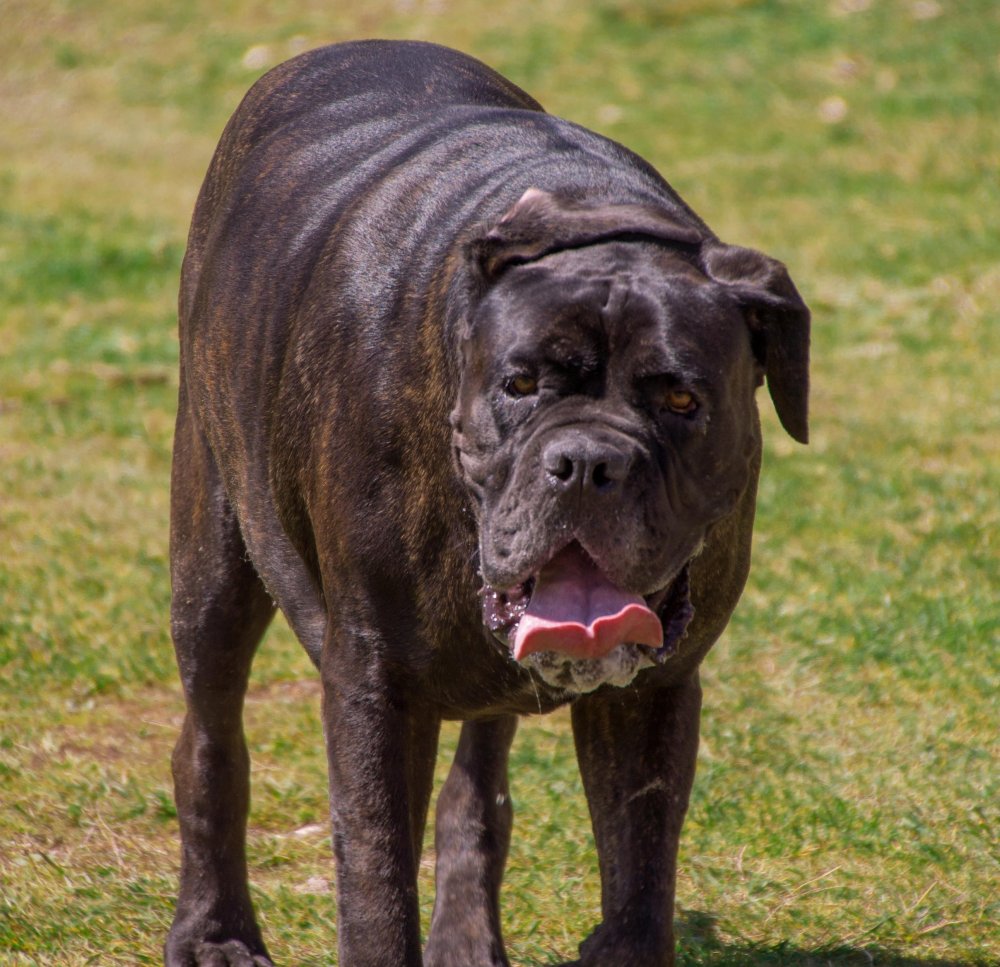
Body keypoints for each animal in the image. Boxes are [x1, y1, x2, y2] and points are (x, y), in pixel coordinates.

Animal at [162, 39, 804, 967]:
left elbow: (640, 870)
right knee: (209, 740)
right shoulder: (373, 689)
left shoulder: (653, 693)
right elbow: (375, 882)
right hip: (213, 555)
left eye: (682, 400)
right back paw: (212, 932)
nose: (587, 461)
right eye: (520, 384)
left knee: (477, 783)